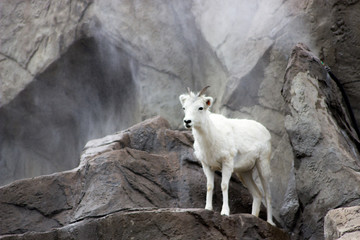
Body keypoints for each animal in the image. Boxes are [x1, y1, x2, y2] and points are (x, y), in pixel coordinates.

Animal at [179, 86, 274, 225]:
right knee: (257, 194)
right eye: (184, 108)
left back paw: (270, 222)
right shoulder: (207, 165)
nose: (187, 121)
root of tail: (265, 131)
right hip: (244, 173)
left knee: (267, 193)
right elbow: (210, 186)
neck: (211, 140)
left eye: (200, 107)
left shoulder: (227, 163)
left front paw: (224, 212)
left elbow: (224, 185)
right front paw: (208, 208)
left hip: (263, 164)